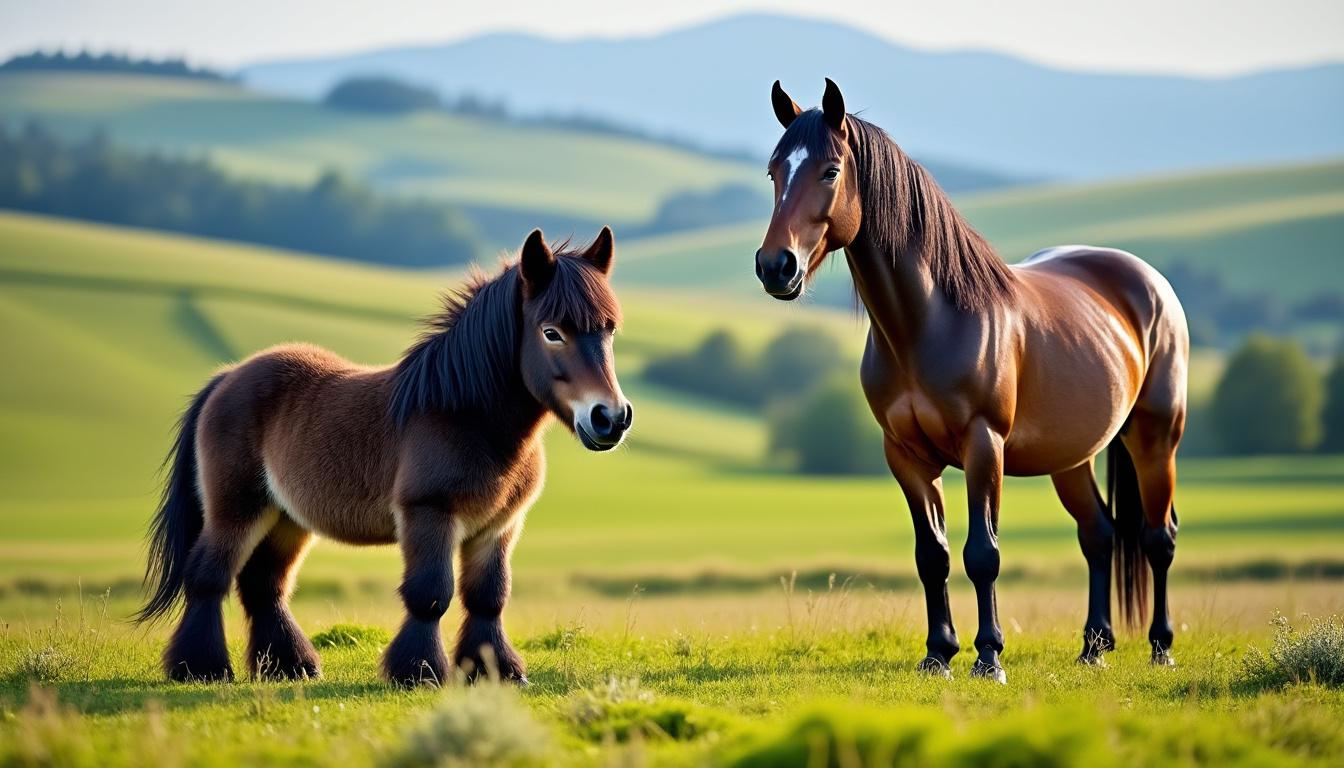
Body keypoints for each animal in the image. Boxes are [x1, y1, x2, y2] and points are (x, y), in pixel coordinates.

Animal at [136, 227, 632, 686]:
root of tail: (226, 378)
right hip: (236, 510)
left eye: (609, 330)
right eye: (552, 332)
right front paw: (417, 671)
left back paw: (290, 667)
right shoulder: (429, 515)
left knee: (264, 586)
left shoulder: (497, 527)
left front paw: (495, 671)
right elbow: (430, 594)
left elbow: (488, 598)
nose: (610, 417)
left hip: (285, 518)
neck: (466, 415)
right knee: (208, 577)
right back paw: (200, 669)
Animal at [756, 80, 1188, 682]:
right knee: (1099, 535)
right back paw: (1094, 647)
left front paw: (989, 656)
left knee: (1157, 537)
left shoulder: (984, 446)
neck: (930, 321)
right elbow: (932, 555)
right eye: (774, 170)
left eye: (830, 171)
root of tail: (1148, 281)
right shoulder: (906, 456)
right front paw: (939, 653)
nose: (776, 266)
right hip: (1072, 456)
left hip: (1155, 439)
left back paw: (1161, 647)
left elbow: (983, 553)